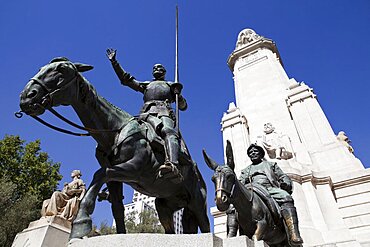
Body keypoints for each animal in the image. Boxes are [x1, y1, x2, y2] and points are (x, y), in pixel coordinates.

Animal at [18, 57, 210, 237]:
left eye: (62, 69)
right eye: (41, 68)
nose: (27, 96)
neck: (115, 130)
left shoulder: (135, 169)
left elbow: (99, 174)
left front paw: (81, 221)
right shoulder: (116, 179)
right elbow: (116, 206)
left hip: (197, 204)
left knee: (206, 226)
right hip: (165, 205)